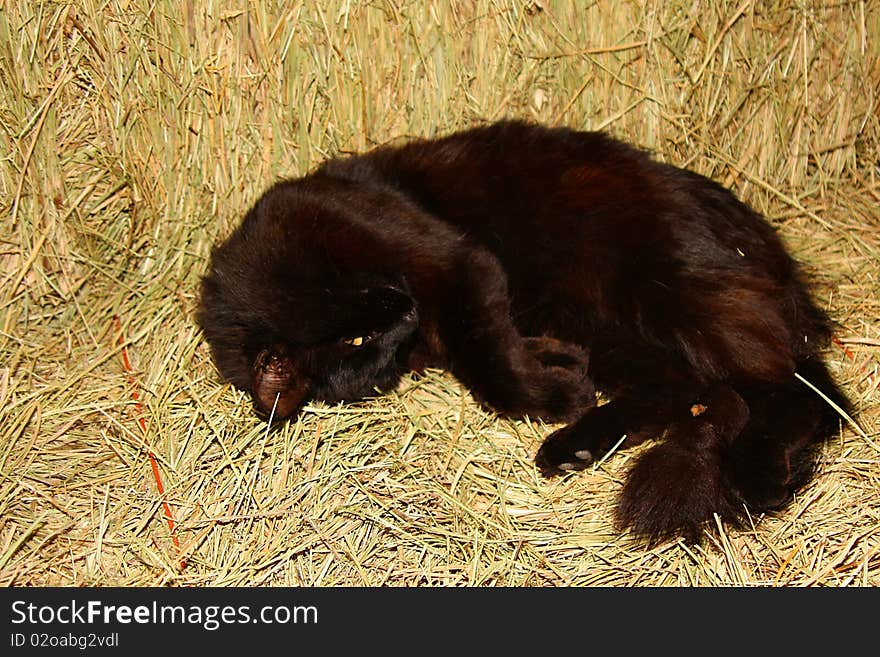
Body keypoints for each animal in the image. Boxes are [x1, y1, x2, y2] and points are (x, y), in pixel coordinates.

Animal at [196, 120, 848, 540]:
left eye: (359, 333)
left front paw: (552, 391)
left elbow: (489, 362)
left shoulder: (453, 262)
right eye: (365, 349)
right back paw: (577, 444)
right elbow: (487, 352)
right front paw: (559, 374)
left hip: (668, 291)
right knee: (690, 391)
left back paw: (756, 471)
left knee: (796, 391)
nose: (401, 309)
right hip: (602, 321)